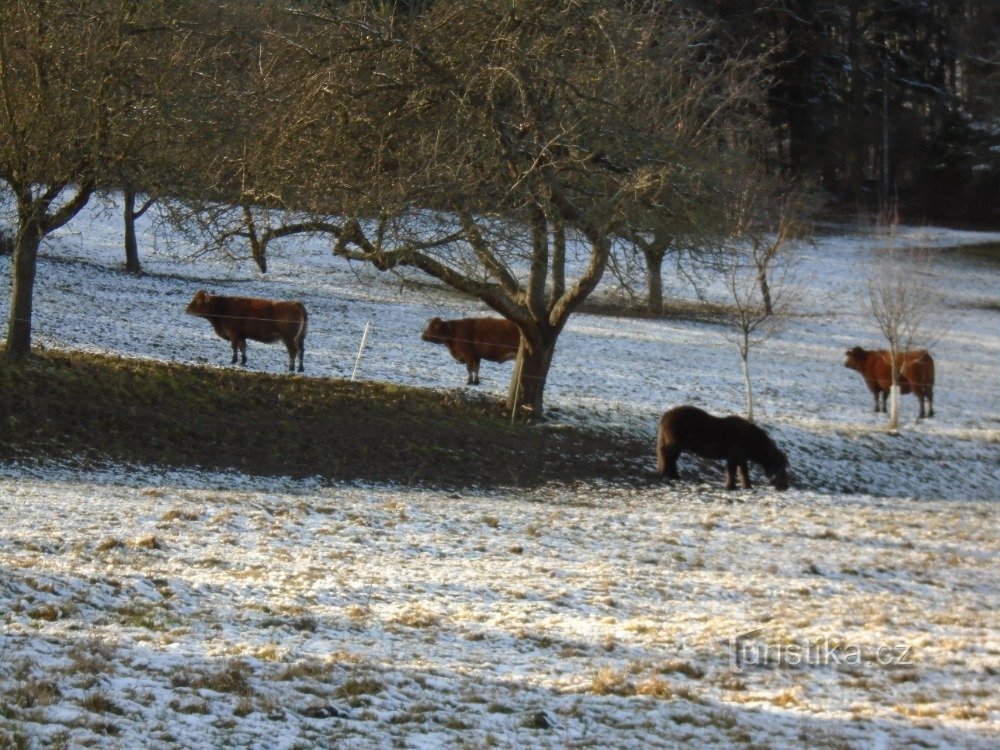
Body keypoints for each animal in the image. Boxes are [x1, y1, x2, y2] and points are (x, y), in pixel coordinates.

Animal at [656, 406, 788, 494]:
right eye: (778, 466)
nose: (785, 487)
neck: (750, 439)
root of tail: (666, 415)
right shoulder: (734, 457)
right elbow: (732, 471)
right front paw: (731, 487)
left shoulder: (741, 458)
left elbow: (743, 472)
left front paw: (747, 487)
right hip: (674, 445)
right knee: (665, 454)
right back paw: (665, 474)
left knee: (671, 458)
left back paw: (674, 476)